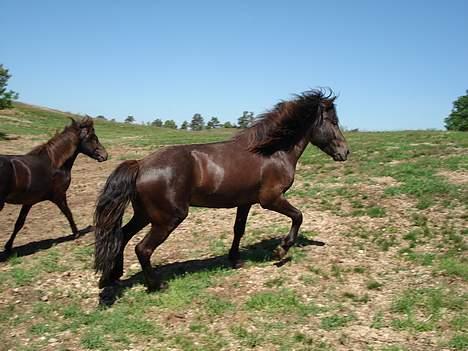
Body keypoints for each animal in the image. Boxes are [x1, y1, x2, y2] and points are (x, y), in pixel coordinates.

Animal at [0, 118, 108, 253]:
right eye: (93, 138)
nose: (105, 155)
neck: (55, 163)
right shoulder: (59, 195)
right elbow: (68, 213)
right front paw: (76, 233)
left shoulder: (29, 202)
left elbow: (19, 223)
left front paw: (8, 246)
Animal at [95, 89, 350, 292]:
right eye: (334, 122)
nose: (345, 152)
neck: (271, 152)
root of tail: (140, 164)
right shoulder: (270, 199)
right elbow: (298, 216)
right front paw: (281, 251)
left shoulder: (245, 202)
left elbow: (239, 229)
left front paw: (235, 260)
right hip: (167, 218)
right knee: (142, 248)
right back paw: (156, 284)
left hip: (145, 215)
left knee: (122, 236)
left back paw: (112, 277)